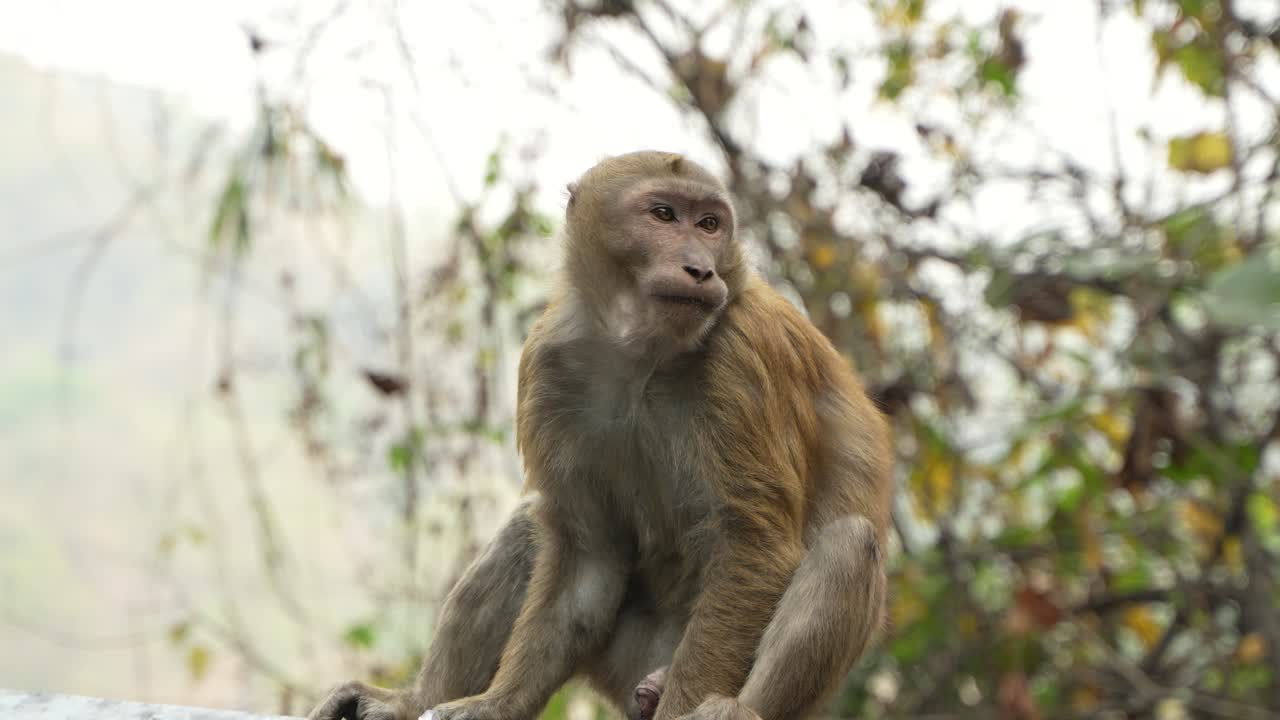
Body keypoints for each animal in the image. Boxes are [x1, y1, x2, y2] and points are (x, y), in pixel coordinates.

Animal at [308, 151, 893, 720]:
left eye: (709, 224)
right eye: (663, 215)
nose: (701, 268)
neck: (644, 353)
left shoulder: (746, 352)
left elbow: (756, 545)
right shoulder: (547, 364)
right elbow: (587, 554)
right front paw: (497, 704)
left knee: (847, 543)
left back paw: (731, 710)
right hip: (624, 659)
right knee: (531, 531)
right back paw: (413, 702)